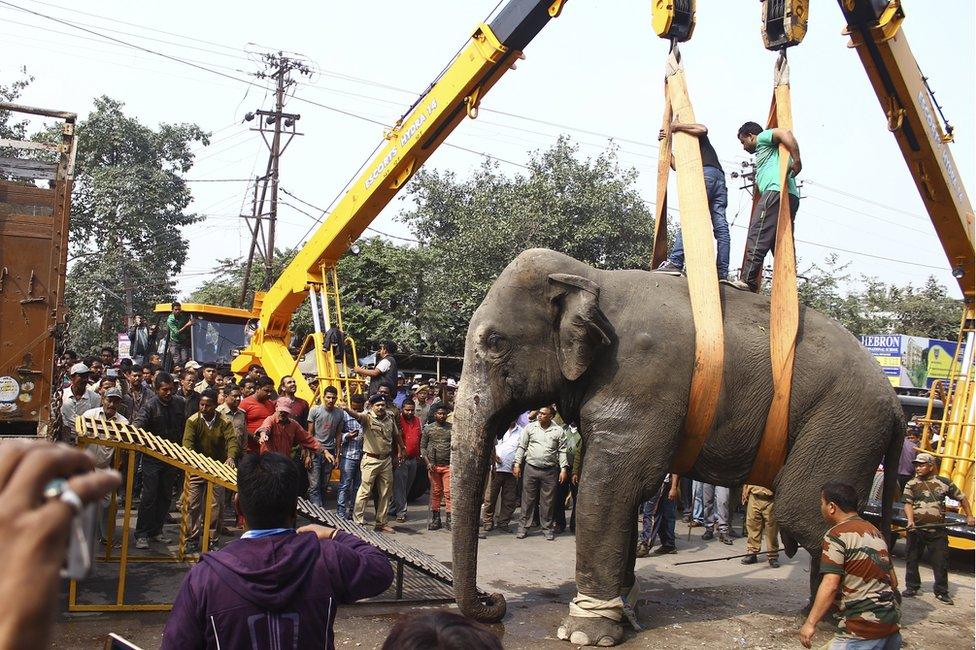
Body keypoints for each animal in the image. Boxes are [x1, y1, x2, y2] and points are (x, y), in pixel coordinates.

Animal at [450, 247, 900, 644]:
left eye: (494, 343)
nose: (495, 599)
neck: (592, 277)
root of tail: (896, 405)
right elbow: (627, 494)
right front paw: (627, 604)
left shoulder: (640, 379)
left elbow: (608, 488)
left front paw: (584, 632)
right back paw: (821, 616)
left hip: (844, 423)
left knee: (805, 511)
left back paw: (848, 623)